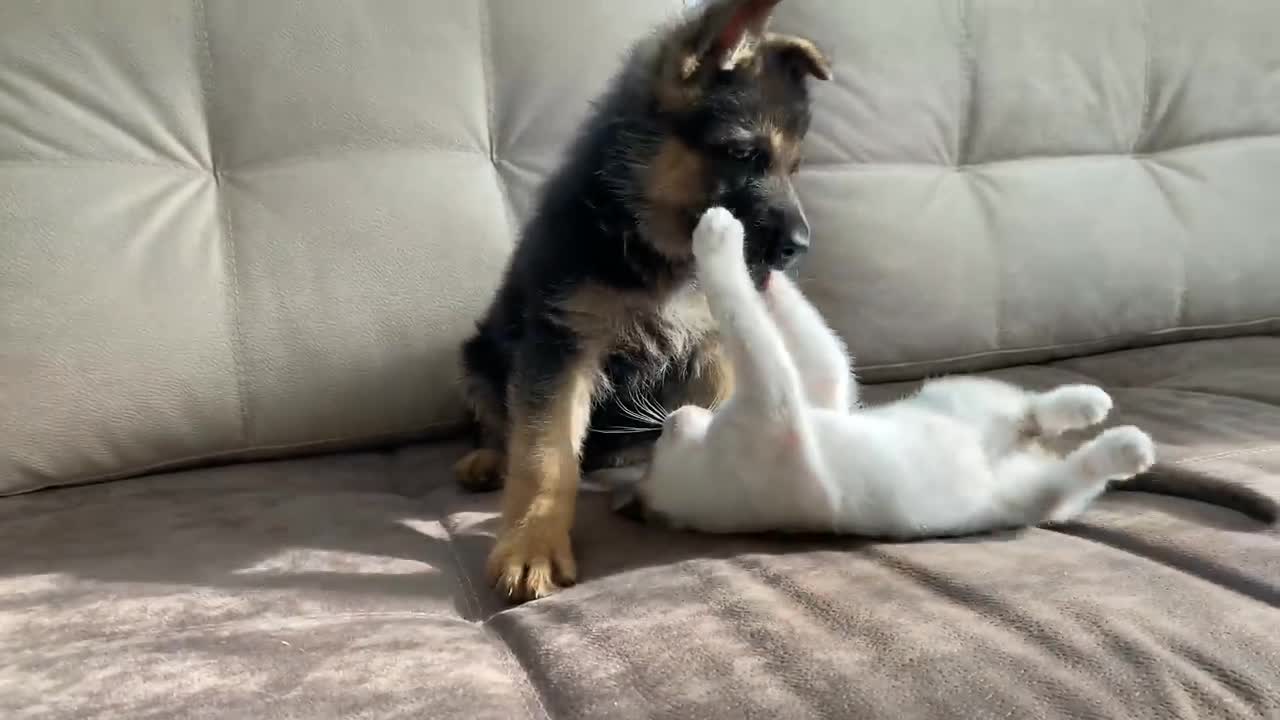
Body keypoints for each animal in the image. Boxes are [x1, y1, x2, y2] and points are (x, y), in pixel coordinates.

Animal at [458, 0, 829, 599]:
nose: (801, 247)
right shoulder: (561, 343)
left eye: (793, 169)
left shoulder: (712, 347)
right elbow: (544, 455)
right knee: (500, 419)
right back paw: (489, 458)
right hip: (476, 358)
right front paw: (533, 543)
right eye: (745, 154)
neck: (656, 247)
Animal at [599, 204, 1162, 535]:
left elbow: (813, 349)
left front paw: (771, 270)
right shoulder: (774, 403)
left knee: (1030, 410)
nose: (674, 417)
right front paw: (717, 238)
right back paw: (1125, 445)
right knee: (1075, 470)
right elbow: (742, 317)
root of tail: (1015, 450)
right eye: (662, 441)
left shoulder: (818, 395)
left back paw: (1086, 401)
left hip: (957, 390)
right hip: (1033, 492)